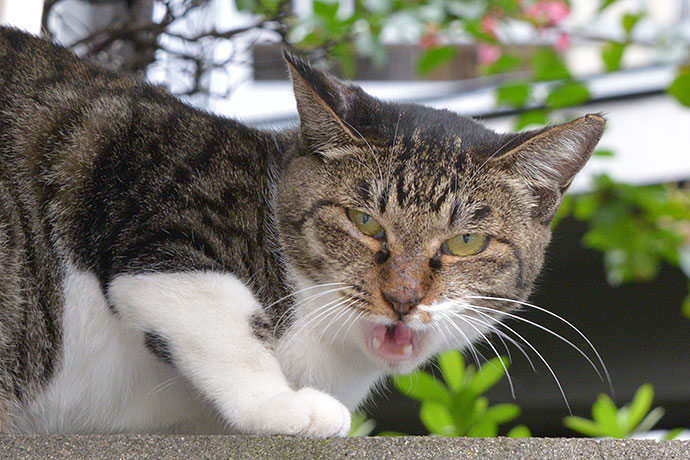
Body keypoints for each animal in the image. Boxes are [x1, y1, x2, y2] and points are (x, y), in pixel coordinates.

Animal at [0, 27, 600, 436]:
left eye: (465, 242)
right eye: (364, 221)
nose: (403, 298)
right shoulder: (152, 186)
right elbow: (218, 311)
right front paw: (281, 404)